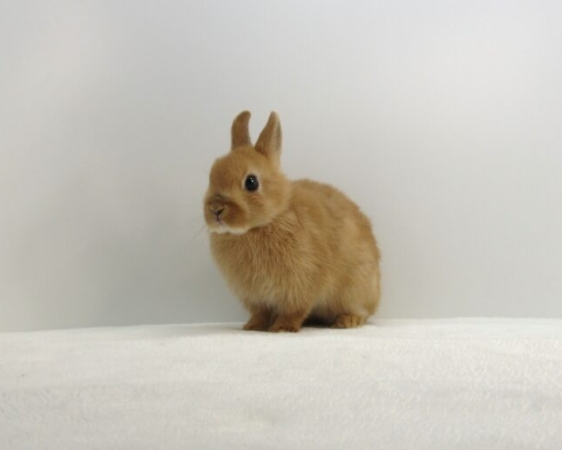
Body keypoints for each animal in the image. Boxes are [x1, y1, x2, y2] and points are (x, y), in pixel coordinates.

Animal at [203, 111, 381, 332]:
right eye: (211, 176)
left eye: (251, 182)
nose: (216, 209)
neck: (267, 222)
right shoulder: (256, 297)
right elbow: (261, 313)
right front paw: (252, 327)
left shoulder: (301, 284)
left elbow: (294, 310)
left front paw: (282, 328)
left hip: (356, 289)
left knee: (362, 311)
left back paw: (346, 321)